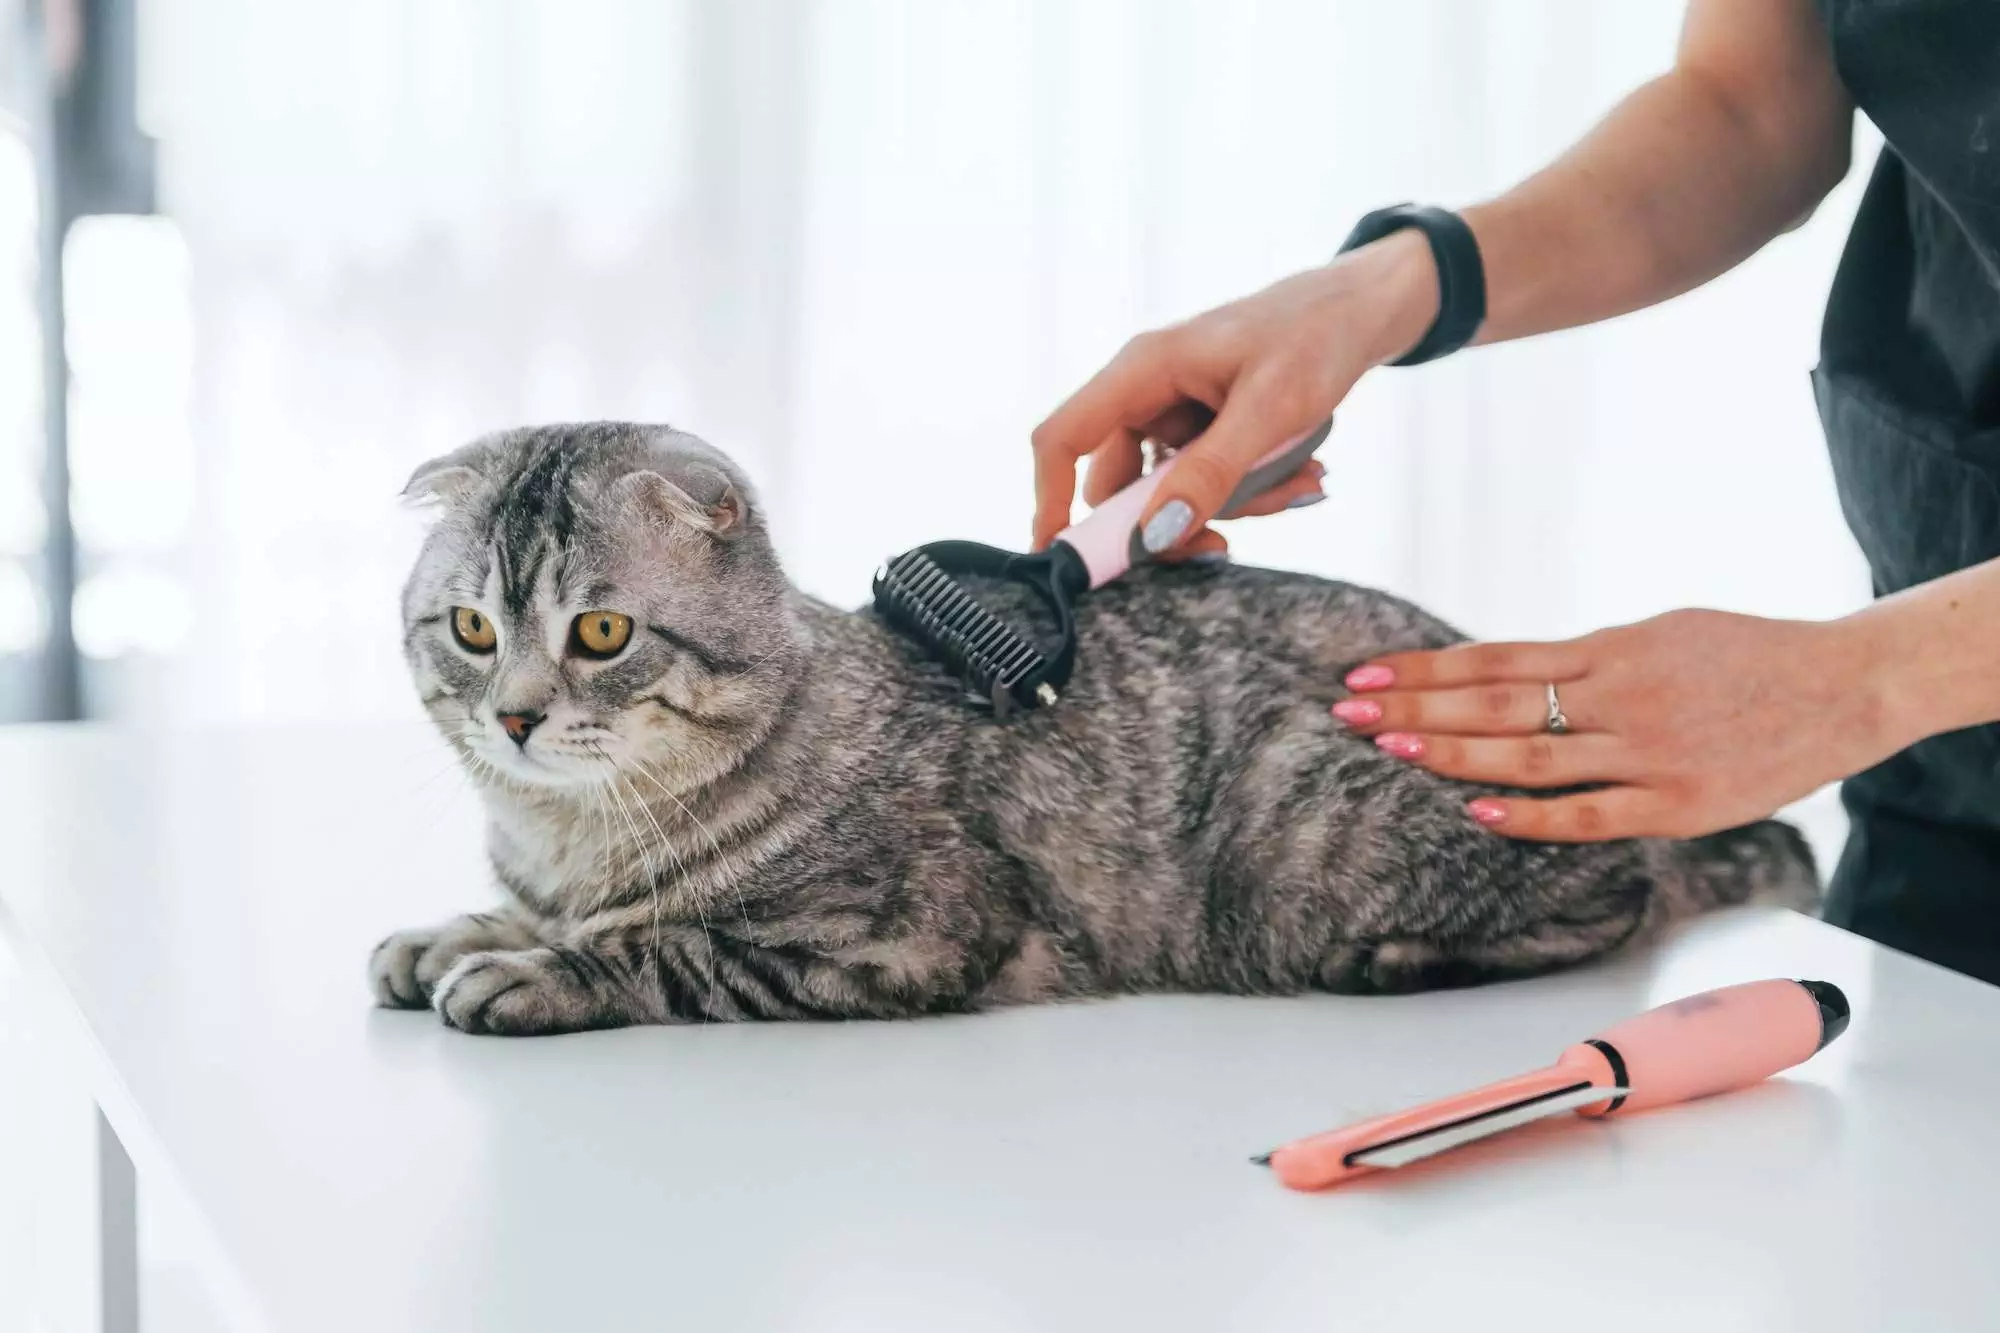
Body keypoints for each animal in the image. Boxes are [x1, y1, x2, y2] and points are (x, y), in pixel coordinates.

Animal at [368, 420, 1824, 1032]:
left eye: (602, 634)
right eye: (473, 630)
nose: (515, 717)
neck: (562, 831)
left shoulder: (909, 935)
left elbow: (661, 946)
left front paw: (526, 970)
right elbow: (533, 911)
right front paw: (453, 932)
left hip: (1302, 836)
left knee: (1621, 898)